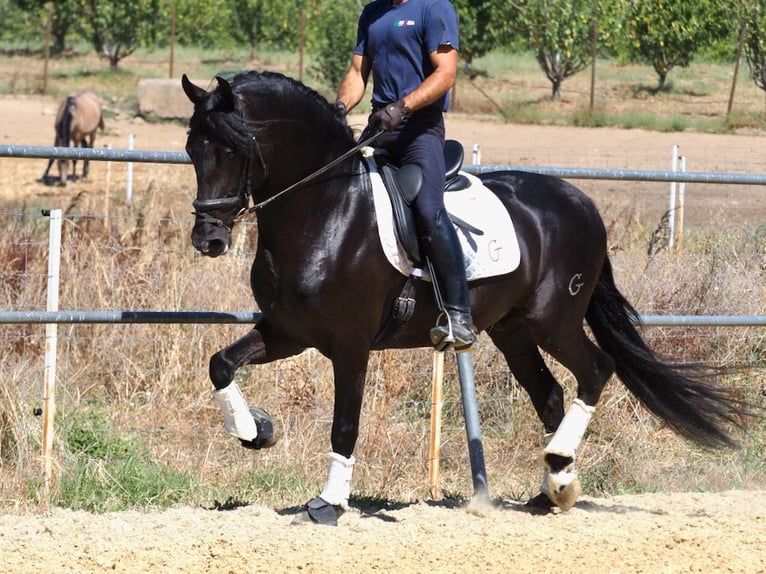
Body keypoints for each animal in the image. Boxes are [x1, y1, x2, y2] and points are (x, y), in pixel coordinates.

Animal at [182, 70, 752, 524]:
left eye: (233, 149)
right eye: (191, 150)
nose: (208, 239)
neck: (326, 209)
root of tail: (581, 200)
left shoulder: (350, 345)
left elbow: (344, 426)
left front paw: (328, 504)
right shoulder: (288, 332)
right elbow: (220, 364)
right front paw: (255, 429)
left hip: (553, 321)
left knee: (595, 370)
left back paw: (559, 472)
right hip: (512, 330)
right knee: (550, 393)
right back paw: (555, 486)